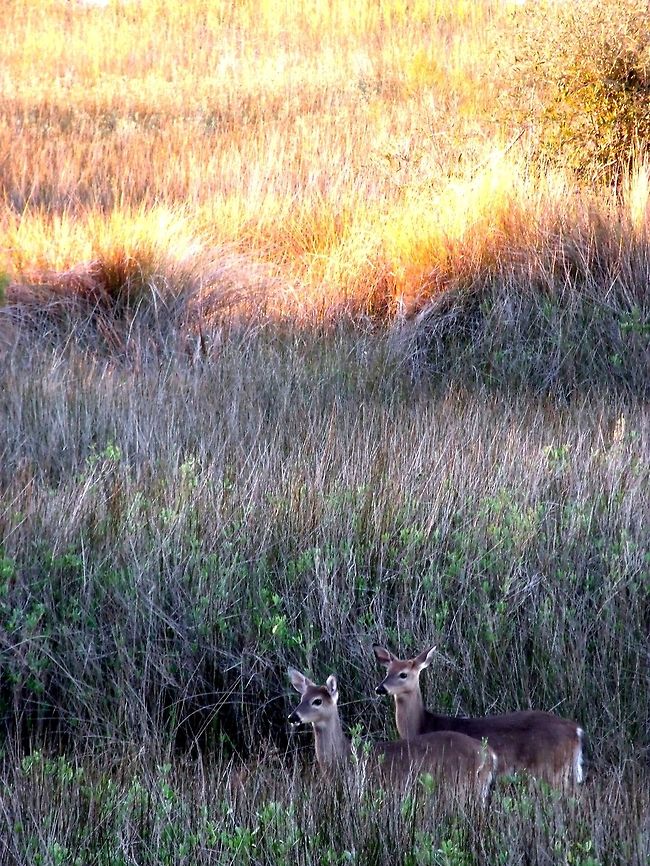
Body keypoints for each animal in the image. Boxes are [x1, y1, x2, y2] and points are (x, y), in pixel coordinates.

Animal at [287, 668, 496, 801]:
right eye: (301, 698)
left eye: (317, 701)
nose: (292, 716)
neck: (344, 756)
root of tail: (489, 755)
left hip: (462, 786)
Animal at [373, 645, 584, 787]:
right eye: (387, 671)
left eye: (403, 674)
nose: (380, 688)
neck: (423, 724)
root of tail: (576, 730)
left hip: (551, 767)